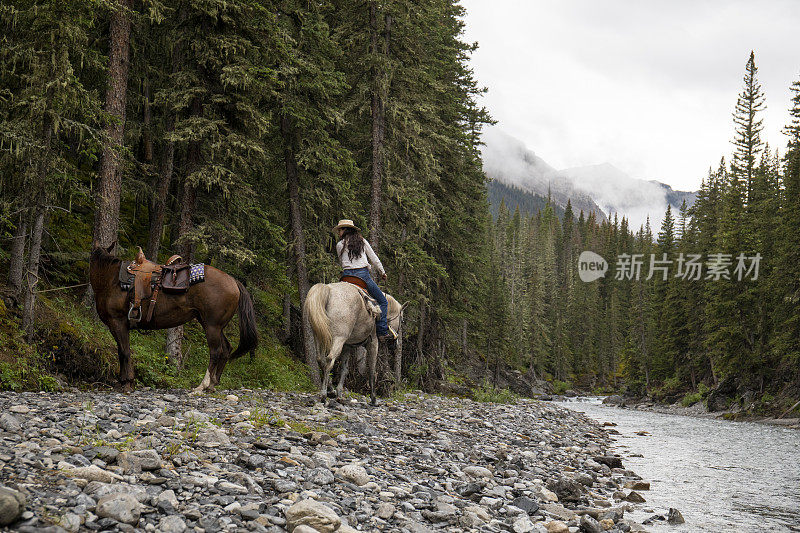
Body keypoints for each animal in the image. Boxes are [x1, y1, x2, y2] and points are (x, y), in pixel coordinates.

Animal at [88, 243, 256, 392]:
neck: (112, 281)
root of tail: (233, 281)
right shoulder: (119, 325)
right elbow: (121, 351)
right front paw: (123, 381)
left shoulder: (118, 322)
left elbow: (125, 351)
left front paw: (128, 382)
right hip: (213, 325)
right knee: (226, 349)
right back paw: (213, 384)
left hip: (212, 326)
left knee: (215, 351)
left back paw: (202, 385)